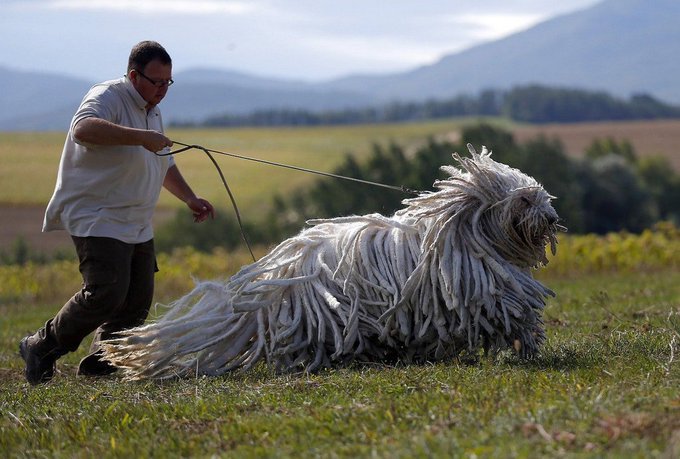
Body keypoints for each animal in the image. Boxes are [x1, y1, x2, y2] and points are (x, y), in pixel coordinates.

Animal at [101, 146, 560, 380]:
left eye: (540, 194)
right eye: (524, 199)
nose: (552, 218)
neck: (464, 231)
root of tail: (274, 277)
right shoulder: (482, 290)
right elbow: (512, 311)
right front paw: (528, 343)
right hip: (326, 313)